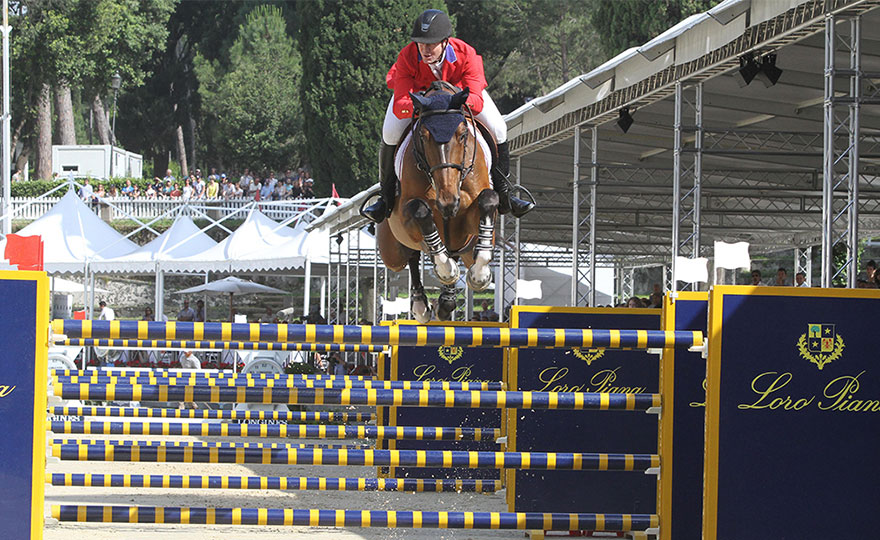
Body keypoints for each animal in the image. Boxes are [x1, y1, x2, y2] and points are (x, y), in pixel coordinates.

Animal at [374, 82, 498, 322]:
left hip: (465, 249)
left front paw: (480, 274)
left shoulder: (468, 219)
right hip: (391, 253)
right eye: (422, 137)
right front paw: (446, 270)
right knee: (411, 257)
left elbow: (488, 199)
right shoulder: (406, 216)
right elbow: (420, 211)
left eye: (463, 135)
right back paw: (422, 305)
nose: (448, 202)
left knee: (456, 255)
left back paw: (446, 301)